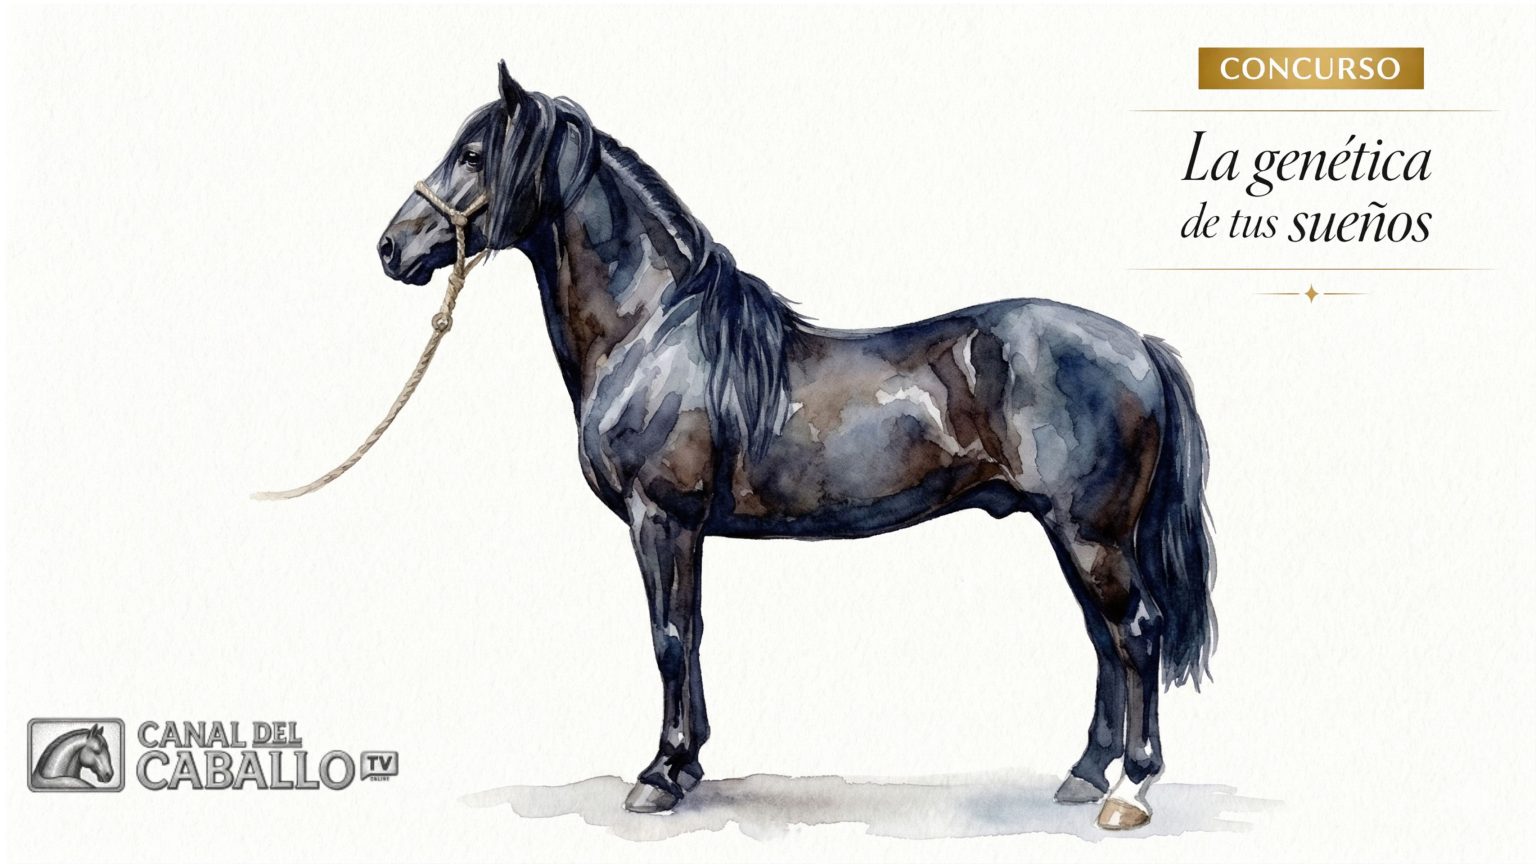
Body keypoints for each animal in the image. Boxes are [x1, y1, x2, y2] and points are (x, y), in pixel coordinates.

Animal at [377, 62, 1215, 831]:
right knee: (1105, 641)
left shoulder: (661, 517)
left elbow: (669, 637)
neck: (653, 331)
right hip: (1071, 532)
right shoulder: (685, 529)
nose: (390, 248)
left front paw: (659, 776)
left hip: (1090, 534)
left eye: (475, 155)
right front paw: (689, 765)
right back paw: (1083, 774)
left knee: (1136, 633)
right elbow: (693, 632)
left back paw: (1129, 791)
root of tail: (1138, 344)